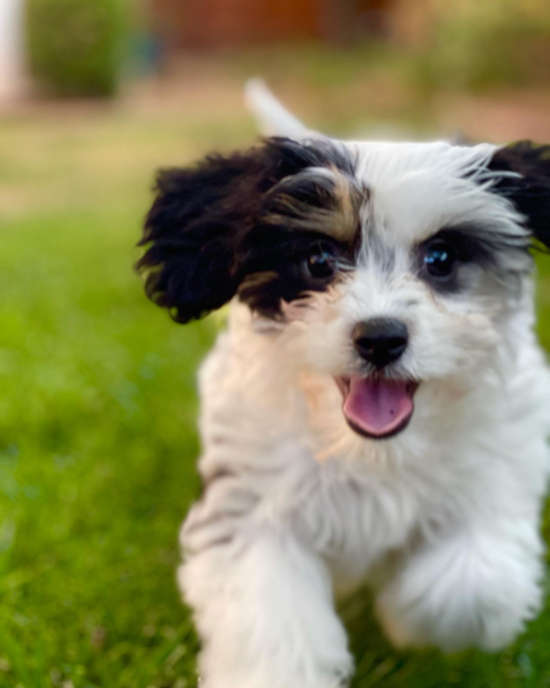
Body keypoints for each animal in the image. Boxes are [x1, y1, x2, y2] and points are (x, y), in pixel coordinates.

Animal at [137, 86, 550, 688]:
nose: (380, 337)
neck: (369, 451)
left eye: (441, 258)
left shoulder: (497, 473)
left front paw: (409, 619)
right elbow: (273, 622)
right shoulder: (255, 503)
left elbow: (469, 587)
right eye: (318, 260)